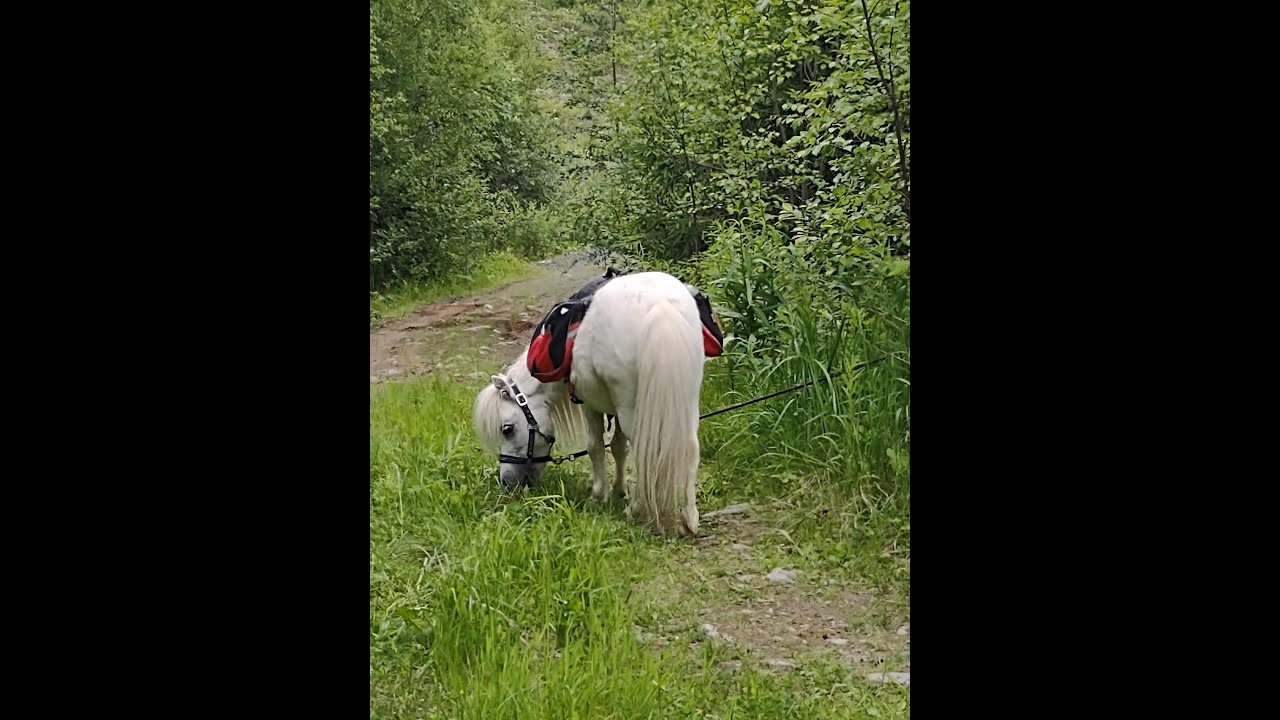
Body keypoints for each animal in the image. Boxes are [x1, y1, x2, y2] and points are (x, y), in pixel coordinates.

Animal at [472, 270, 706, 537]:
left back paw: (637, 509)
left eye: (507, 429)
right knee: (690, 447)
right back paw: (689, 517)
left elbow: (596, 446)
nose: (507, 483)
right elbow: (618, 447)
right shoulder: (616, 408)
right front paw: (618, 490)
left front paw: (599, 494)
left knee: (644, 450)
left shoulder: (589, 404)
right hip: (685, 398)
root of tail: (660, 307)